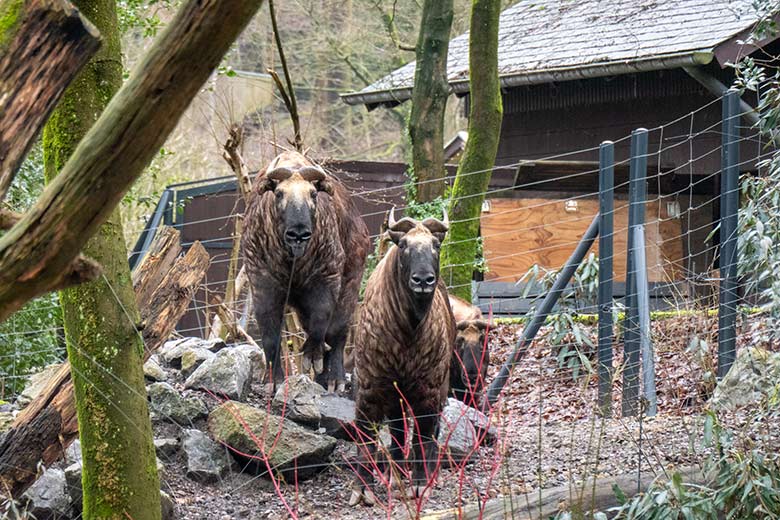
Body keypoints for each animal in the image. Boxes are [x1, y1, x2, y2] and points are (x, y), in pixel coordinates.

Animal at [241, 152, 368, 392]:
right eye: (279, 193)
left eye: (313, 193)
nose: (298, 234)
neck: (292, 260)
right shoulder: (262, 283)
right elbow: (271, 337)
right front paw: (274, 380)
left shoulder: (326, 278)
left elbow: (321, 324)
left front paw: (312, 356)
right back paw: (322, 378)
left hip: (350, 286)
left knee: (337, 333)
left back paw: (334, 378)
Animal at [350, 207, 454, 504]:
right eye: (404, 245)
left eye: (435, 245)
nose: (423, 280)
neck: (408, 330)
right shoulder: (371, 387)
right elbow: (366, 436)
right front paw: (362, 489)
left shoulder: (428, 389)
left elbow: (423, 436)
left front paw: (419, 484)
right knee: (397, 431)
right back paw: (395, 474)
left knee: (429, 434)